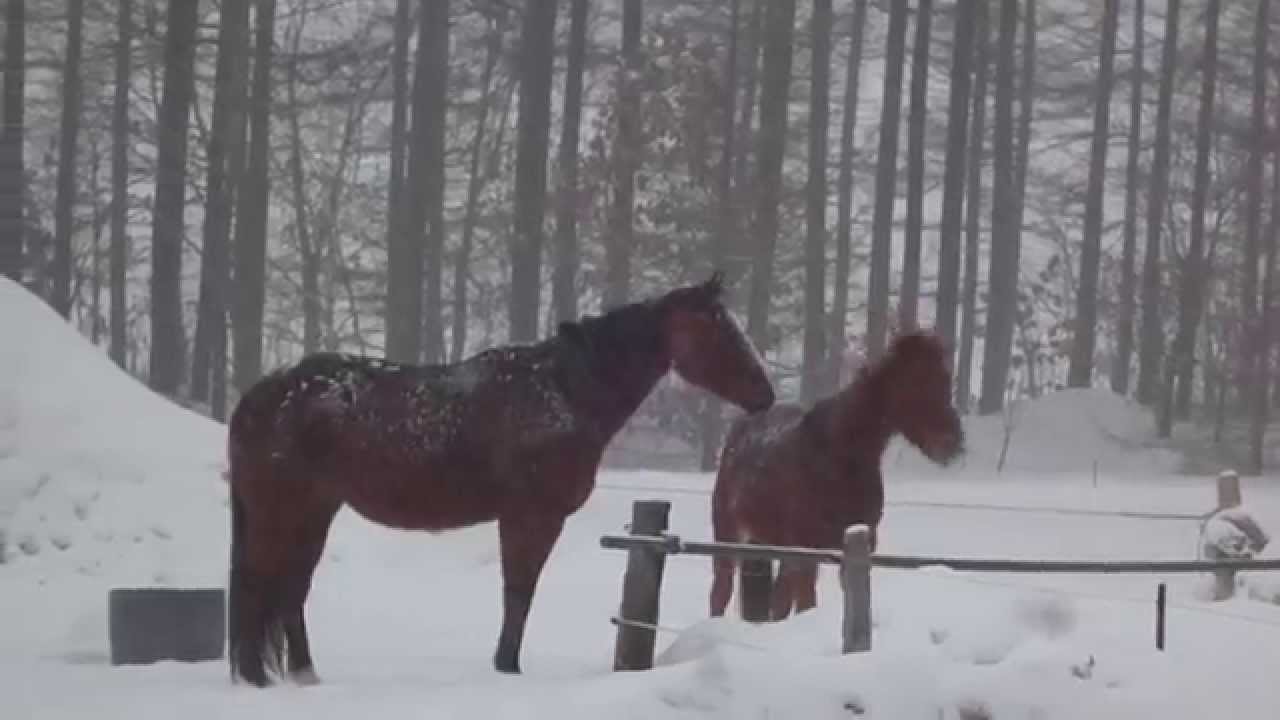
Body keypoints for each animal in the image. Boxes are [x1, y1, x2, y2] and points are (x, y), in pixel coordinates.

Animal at [226, 273, 775, 687]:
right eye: (721, 330)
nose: (765, 392)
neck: (563, 392)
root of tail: (261, 394)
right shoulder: (531, 518)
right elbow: (519, 593)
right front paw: (507, 668)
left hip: (313, 511)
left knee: (290, 590)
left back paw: (303, 675)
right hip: (282, 513)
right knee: (258, 585)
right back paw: (258, 680)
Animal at [708, 329, 964, 622]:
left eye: (945, 380)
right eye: (916, 381)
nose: (951, 442)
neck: (838, 457)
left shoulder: (855, 548)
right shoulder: (807, 553)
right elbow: (807, 604)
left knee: (779, 599)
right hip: (730, 541)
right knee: (721, 593)